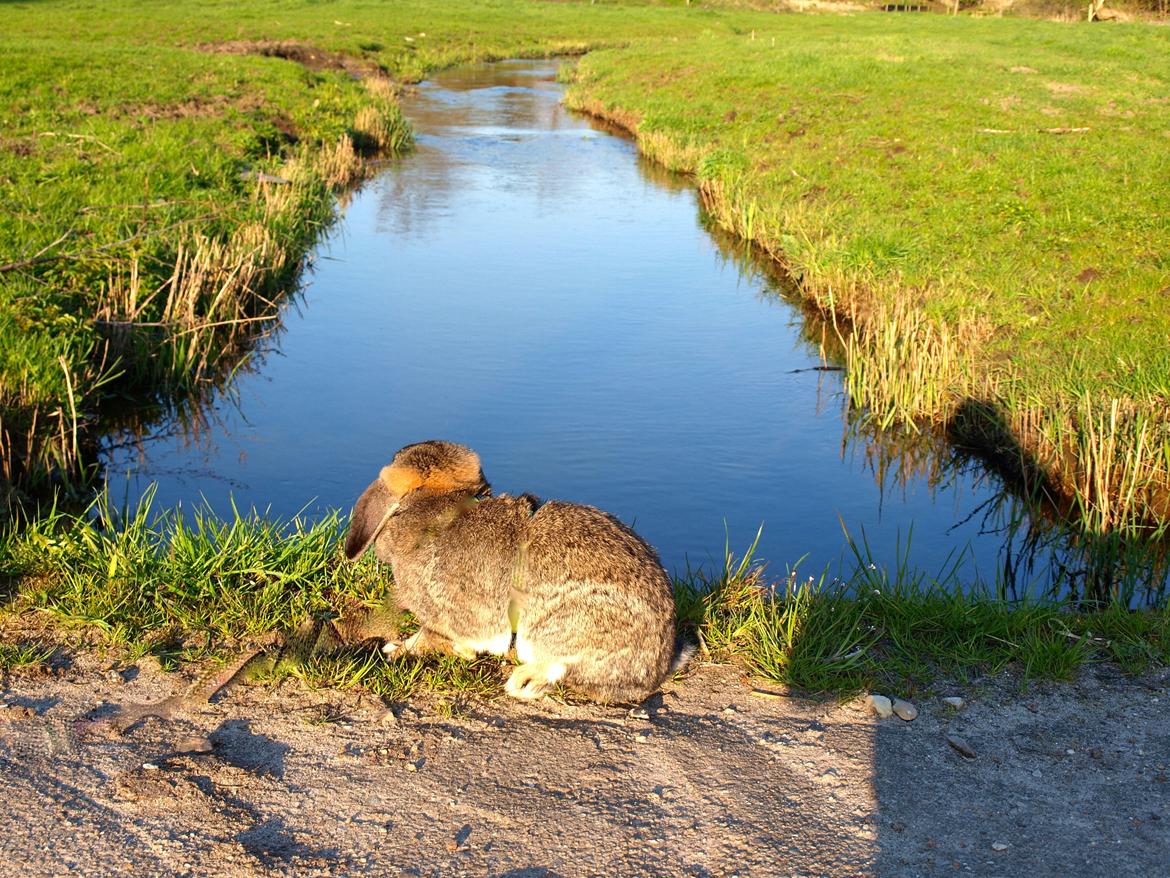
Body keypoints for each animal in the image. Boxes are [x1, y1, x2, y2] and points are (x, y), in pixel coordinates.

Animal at [341, 442, 683, 707]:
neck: (438, 509)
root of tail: (657, 669)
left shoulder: (442, 615)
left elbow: (431, 638)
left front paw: (396, 650)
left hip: (556, 629)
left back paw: (523, 681)